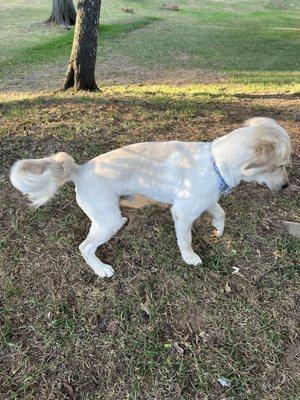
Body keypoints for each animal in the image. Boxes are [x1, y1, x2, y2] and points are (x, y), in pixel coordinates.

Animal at [9, 117, 290, 276]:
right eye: (280, 165)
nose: (287, 185)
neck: (216, 163)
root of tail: (80, 169)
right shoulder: (183, 213)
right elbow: (185, 240)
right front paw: (190, 258)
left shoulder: (206, 200)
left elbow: (221, 212)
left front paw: (218, 230)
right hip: (106, 220)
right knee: (85, 247)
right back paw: (100, 269)